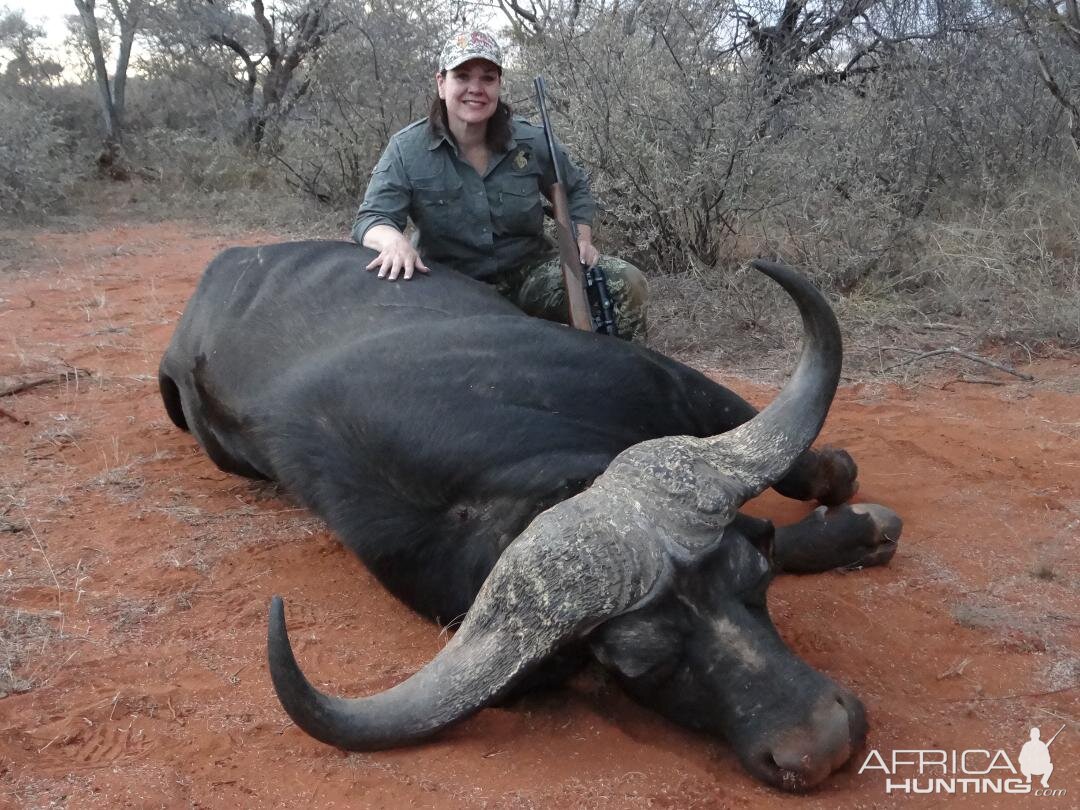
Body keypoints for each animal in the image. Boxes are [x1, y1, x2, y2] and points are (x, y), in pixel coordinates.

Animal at [157, 240, 902, 794]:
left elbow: (830, 471)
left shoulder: (670, 382)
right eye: (637, 664)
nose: (822, 744)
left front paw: (857, 523)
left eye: (755, 583)